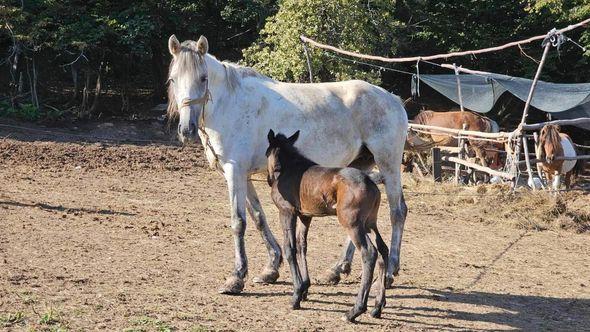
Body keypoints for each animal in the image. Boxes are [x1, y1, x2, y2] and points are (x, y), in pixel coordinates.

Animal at [268, 130, 388, 322]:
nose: (270, 177)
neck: (289, 166)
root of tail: (370, 182)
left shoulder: (286, 212)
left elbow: (289, 248)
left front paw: (296, 296)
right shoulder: (305, 216)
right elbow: (302, 246)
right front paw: (305, 289)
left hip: (353, 224)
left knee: (369, 252)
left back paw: (355, 311)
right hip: (370, 223)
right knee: (383, 250)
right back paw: (377, 307)